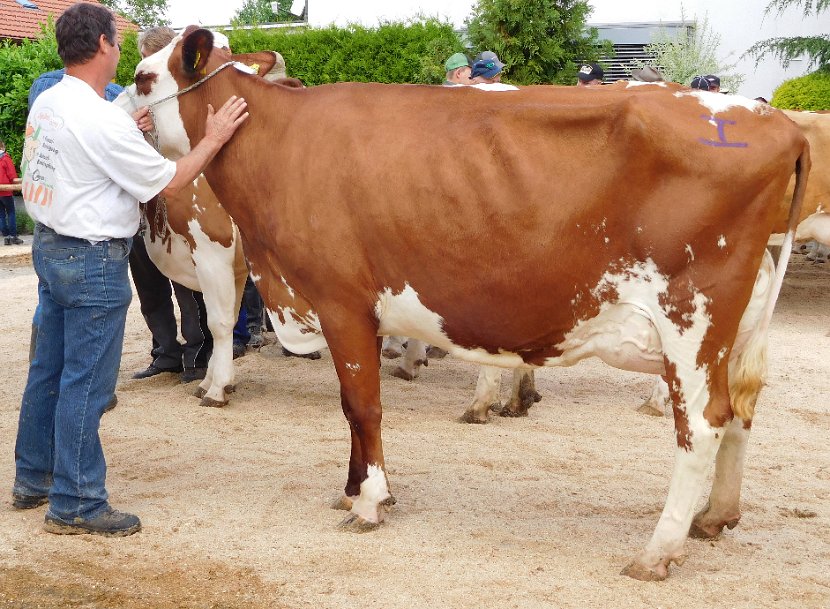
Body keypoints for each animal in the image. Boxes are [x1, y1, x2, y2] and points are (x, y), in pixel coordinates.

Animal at [135, 29, 812, 580]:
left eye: (140, 79)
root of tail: (772, 119)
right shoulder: (348, 311)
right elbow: (353, 408)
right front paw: (353, 489)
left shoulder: (340, 301)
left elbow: (363, 406)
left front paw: (369, 502)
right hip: (739, 326)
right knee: (742, 409)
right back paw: (715, 518)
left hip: (691, 318)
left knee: (702, 424)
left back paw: (658, 550)